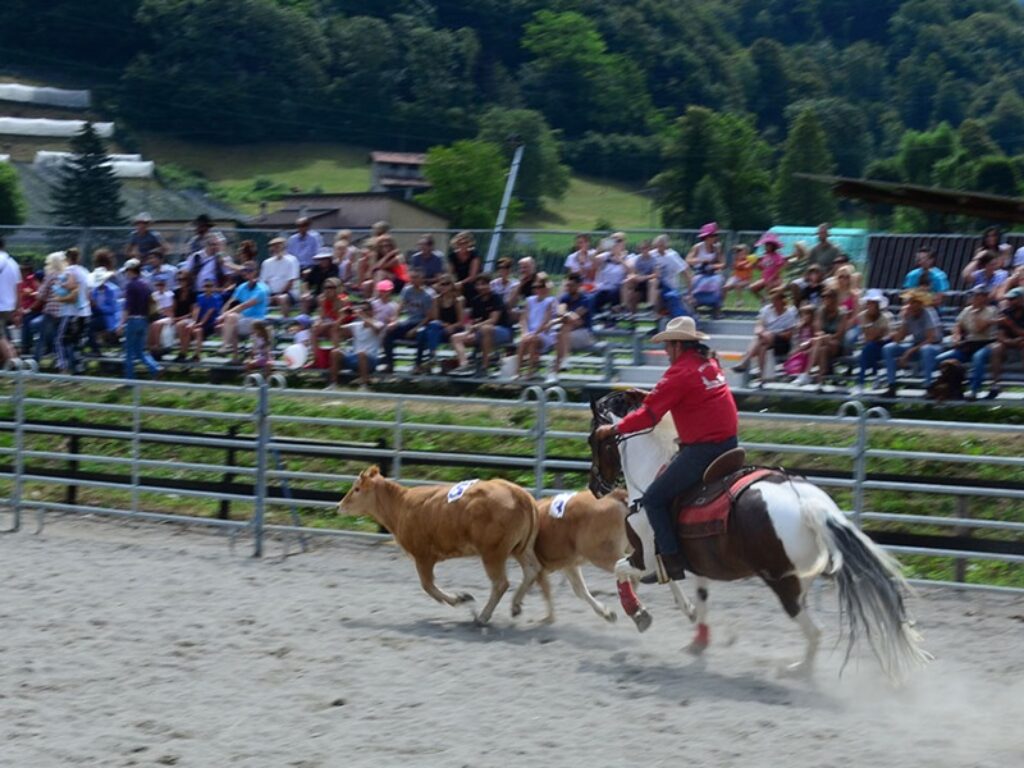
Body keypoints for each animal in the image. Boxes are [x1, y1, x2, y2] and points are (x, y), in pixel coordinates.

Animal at [337, 468, 544, 626]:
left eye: (356, 489)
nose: (339, 505)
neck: (401, 505)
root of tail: (520, 494)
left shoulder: (423, 556)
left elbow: (428, 586)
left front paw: (460, 598)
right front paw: (461, 598)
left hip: (493, 552)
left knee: (501, 583)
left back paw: (483, 617)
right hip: (521, 548)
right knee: (532, 570)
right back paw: (515, 606)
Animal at [589, 393, 933, 684]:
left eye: (593, 439)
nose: (595, 487)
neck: (651, 478)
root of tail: (812, 506)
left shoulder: (645, 555)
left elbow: (621, 570)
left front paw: (639, 614)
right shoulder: (683, 561)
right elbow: (697, 596)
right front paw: (696, 635)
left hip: (782, 583)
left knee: (815, 631)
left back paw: (797, 671)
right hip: (801, 580)